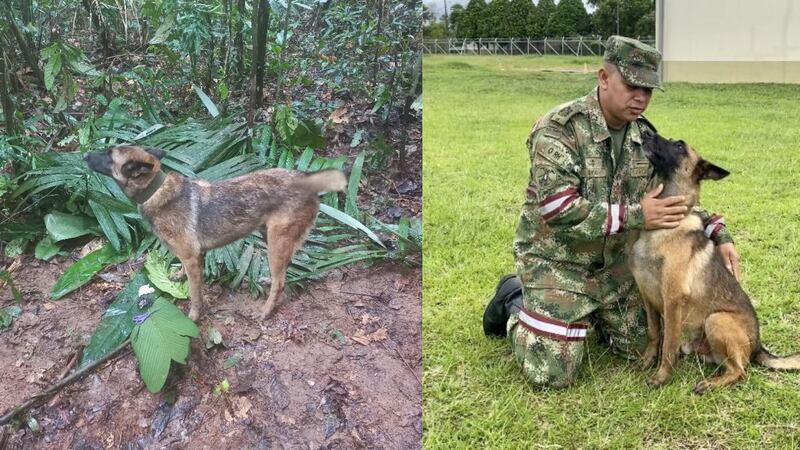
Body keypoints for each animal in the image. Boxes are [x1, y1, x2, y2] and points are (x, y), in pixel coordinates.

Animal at [85, 146, 346, 322]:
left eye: (109, 155)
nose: (84, 155)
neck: (155, 190)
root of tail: (306, 179)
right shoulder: (193, 257)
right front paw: (178, 276)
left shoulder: (192, 258)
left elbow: (194, 294)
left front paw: (193, 316)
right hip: (269, 237)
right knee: (283, 271)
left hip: (276, 241)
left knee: (280, 281)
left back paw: (265, 311)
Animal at [632, 133, 800, 394]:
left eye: (678, 146)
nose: (647, 133)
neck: (662, 227)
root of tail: (758, 346)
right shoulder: (647, 297)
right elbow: (653, 333)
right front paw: (647, 361)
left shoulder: (672, 300)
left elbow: (668, 343)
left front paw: (661, 377)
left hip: (716, 319)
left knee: (740, 371)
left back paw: (710, 384)